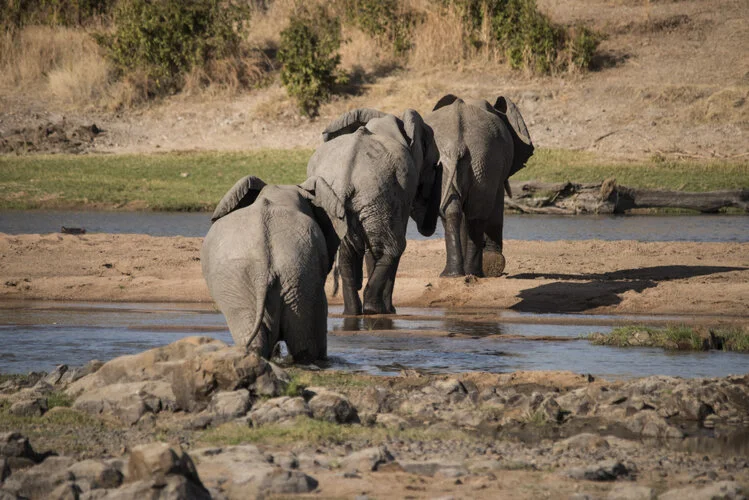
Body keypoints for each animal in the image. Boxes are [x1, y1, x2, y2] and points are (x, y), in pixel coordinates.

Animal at [306, 107, 442, 314]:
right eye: (434, 165)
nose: (440, 166)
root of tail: (345, 179)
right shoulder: (402, 190)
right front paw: (390, 310)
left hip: (338, 201)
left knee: (347, 252)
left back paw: (353, 312)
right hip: (376, 193)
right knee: (393, 246)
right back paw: (374, 309)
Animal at [424, 94, 536, 278]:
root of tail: (456, 145)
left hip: (476, 160)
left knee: (459, 212)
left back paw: (457, 274)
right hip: (484, 160)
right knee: (475, 212)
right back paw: (474, 272)